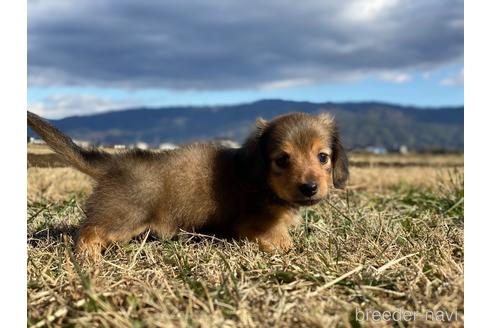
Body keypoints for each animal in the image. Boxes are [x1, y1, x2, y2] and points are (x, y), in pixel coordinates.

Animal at [27, 111, 350, 258]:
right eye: (282, 160)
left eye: (323, 157)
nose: (310, 188)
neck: (260, 181)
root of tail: (115, 162)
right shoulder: (255, 226)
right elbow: (285, 242)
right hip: (125, 218)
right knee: (88, 233)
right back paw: (89, 259)